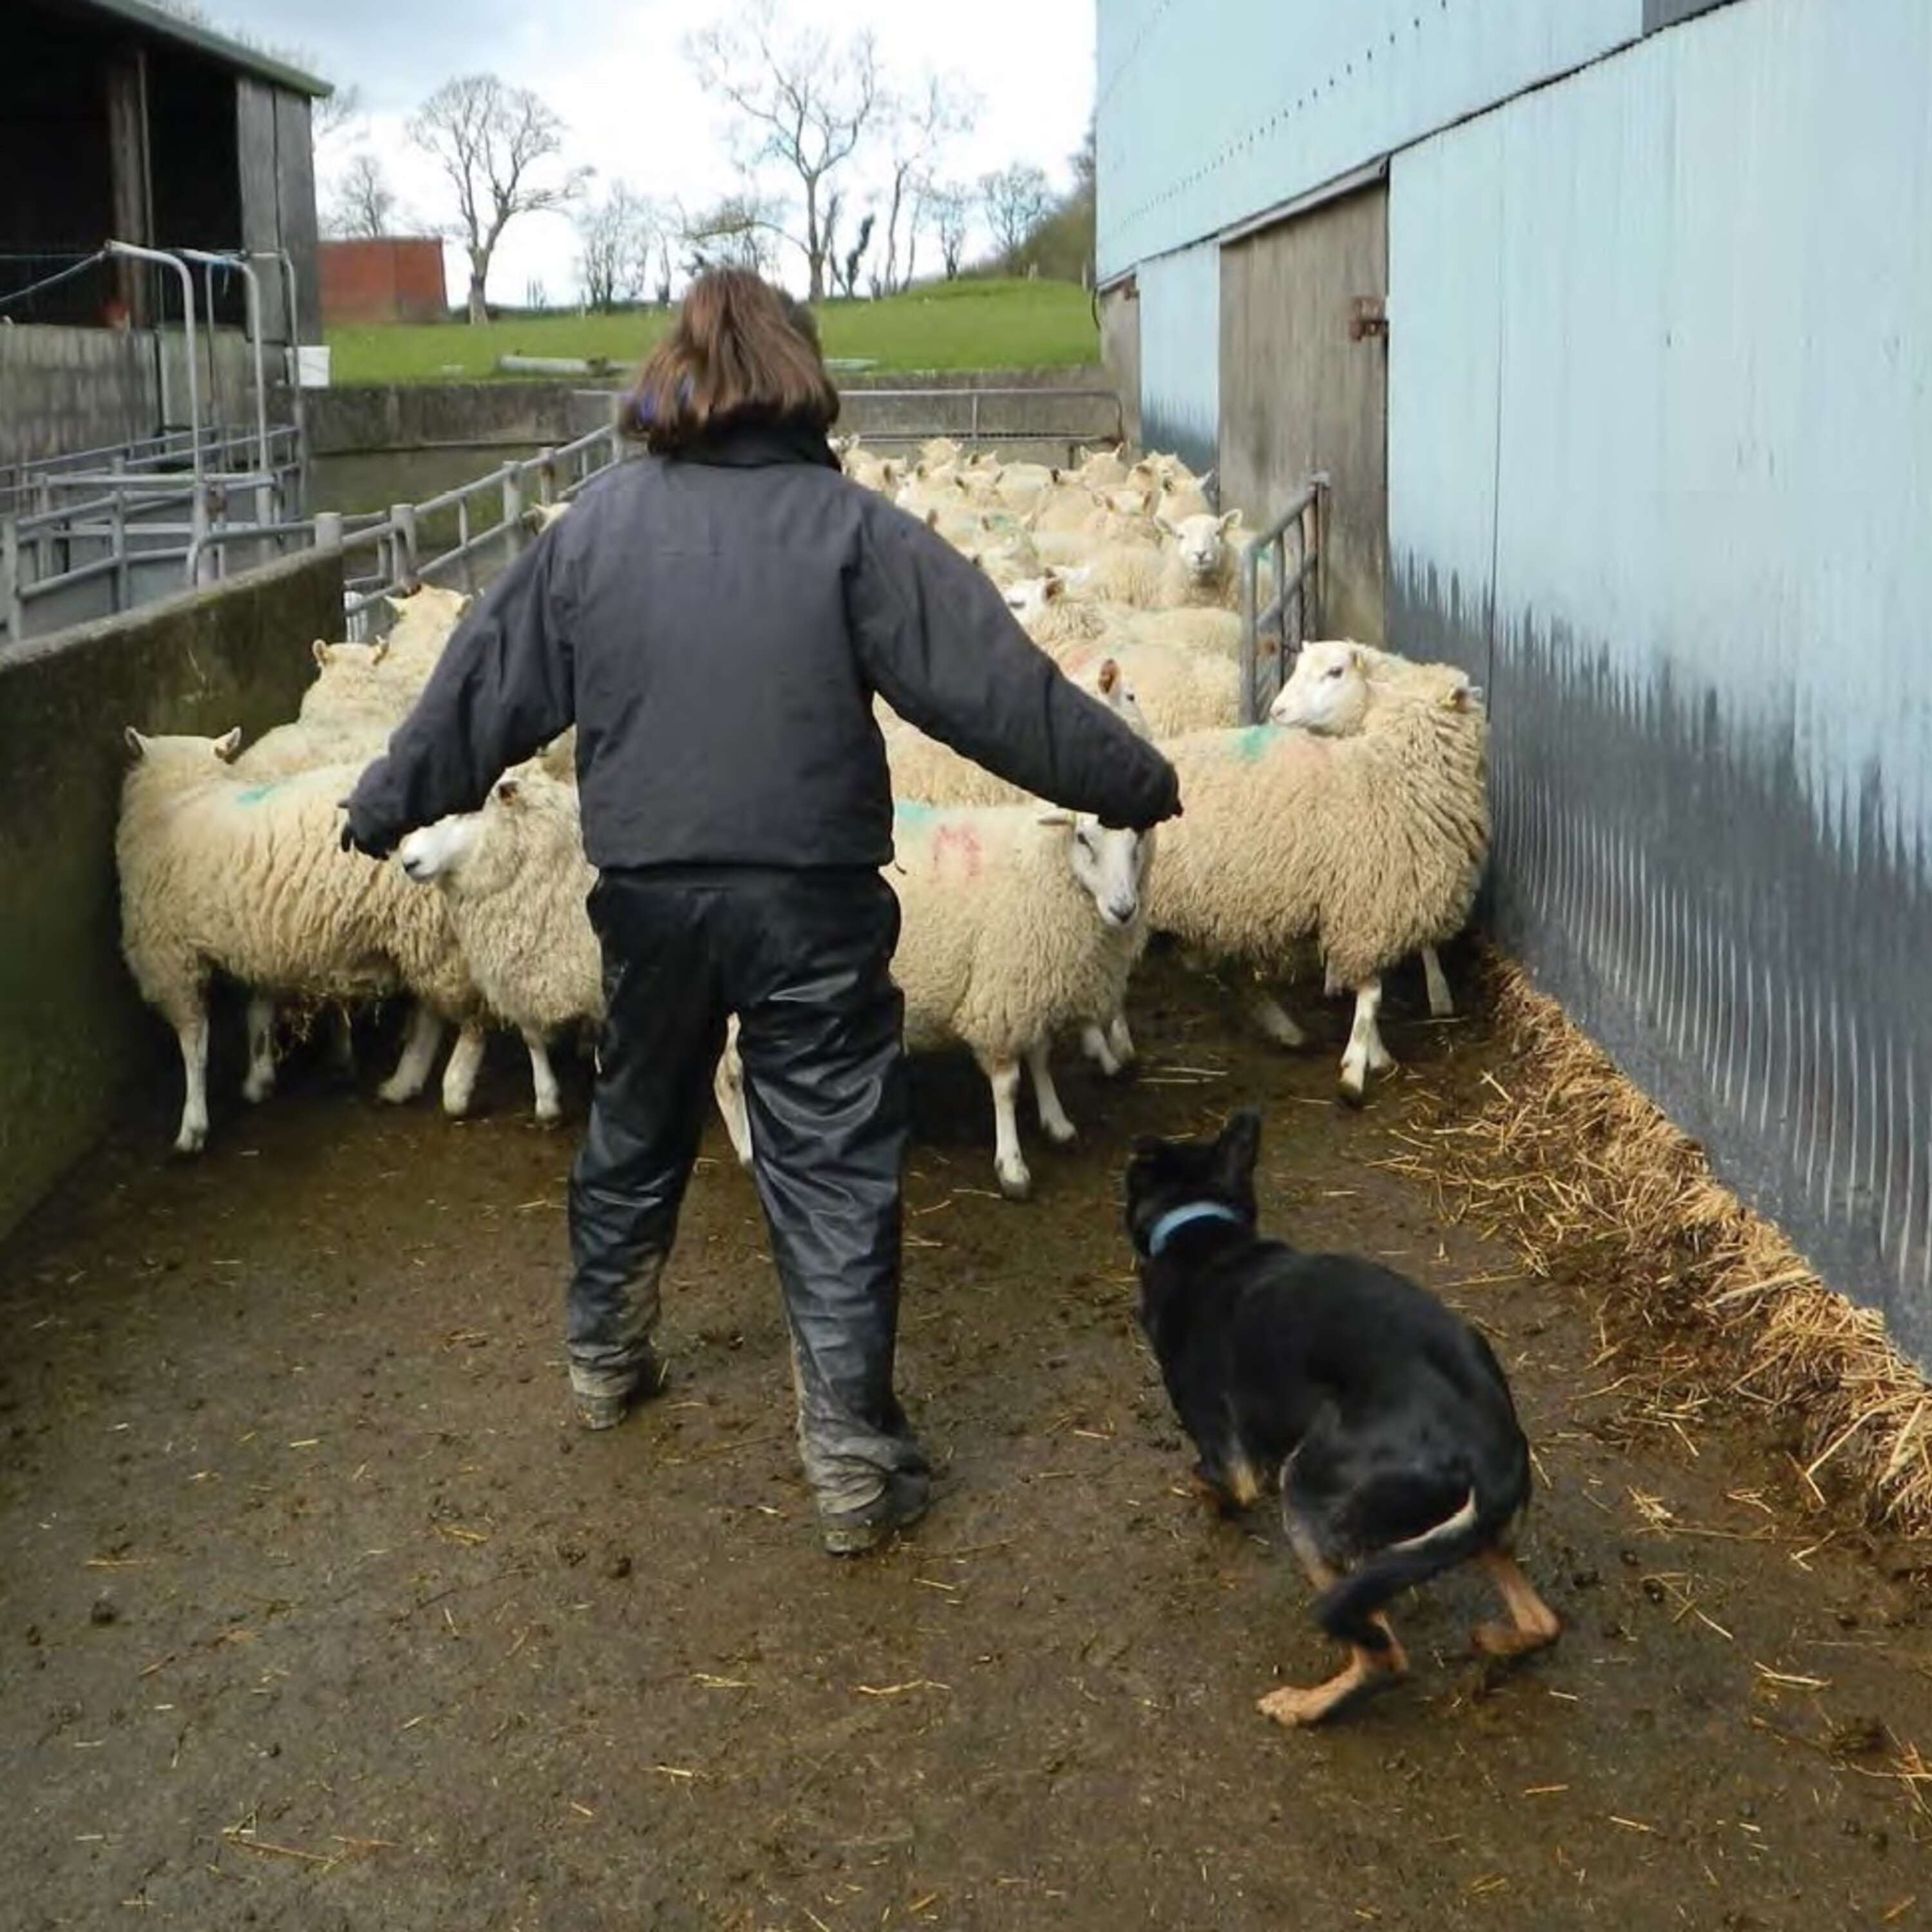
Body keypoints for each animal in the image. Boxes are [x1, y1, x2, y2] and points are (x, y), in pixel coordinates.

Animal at [1128, 1113, 1561, 1731]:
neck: (1204, 1232)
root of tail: (1491, 1449)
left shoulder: (1224, 1448)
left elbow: (1211, 1479)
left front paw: (1211, 1503)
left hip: (1307, 1496)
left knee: (1383, 1655)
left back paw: (1306, 1705)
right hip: (1469, 1531)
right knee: (1540, 1621)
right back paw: (1495, 1640)